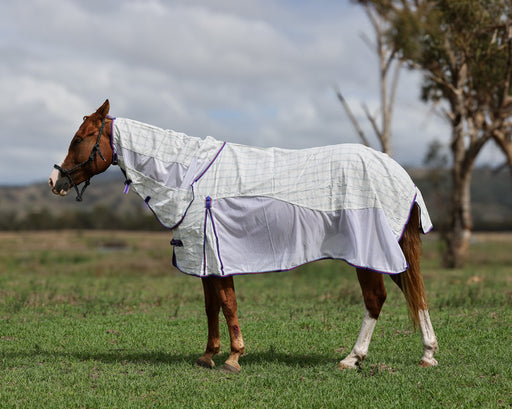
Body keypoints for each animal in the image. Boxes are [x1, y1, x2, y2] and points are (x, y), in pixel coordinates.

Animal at [49, 100, 438, 373]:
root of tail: (398, 173)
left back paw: (352, 358)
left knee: (376, 299)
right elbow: (211, 306)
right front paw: (208, 354)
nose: (55, 181)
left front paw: (234, 358)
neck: (188, 178)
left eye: (79, 139)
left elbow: (228, 303)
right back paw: (428, 354)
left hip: (368, 254)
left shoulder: (216, 255)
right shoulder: (204, 258)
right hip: (392, 252)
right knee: (414, 292)